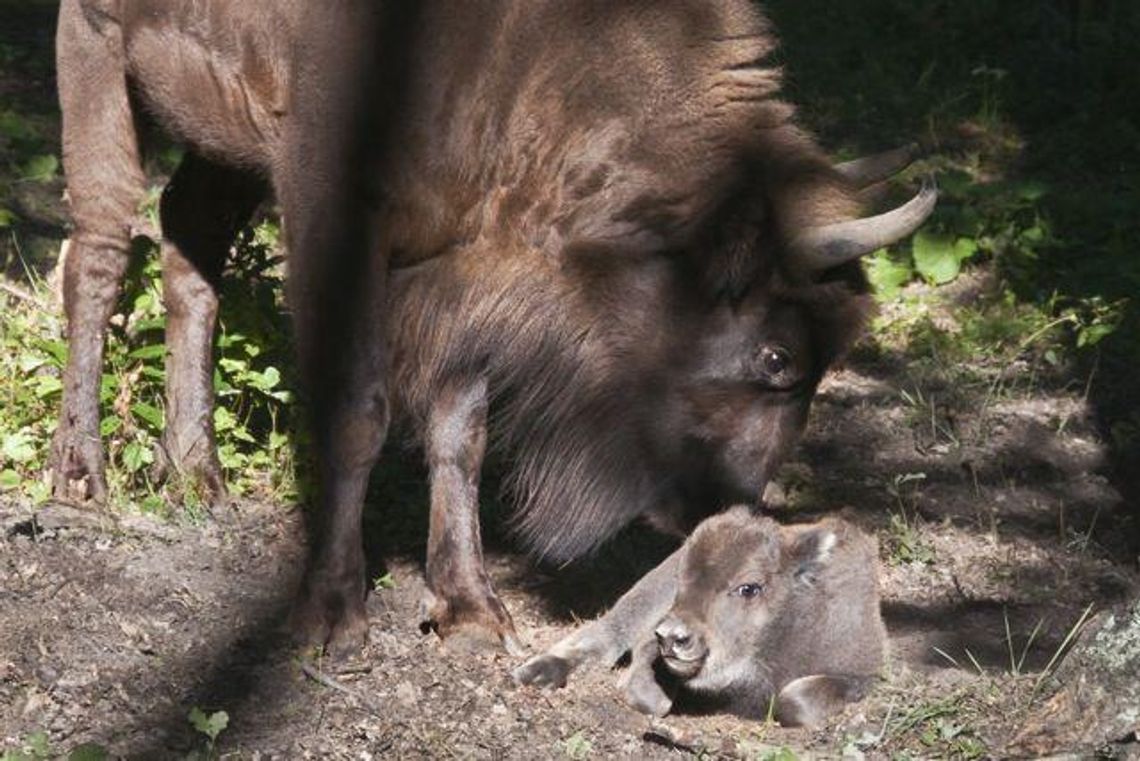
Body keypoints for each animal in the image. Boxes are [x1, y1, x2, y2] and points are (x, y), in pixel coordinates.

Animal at [49, 0, 930, 656]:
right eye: (775, 353)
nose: (729, 507)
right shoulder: (332, 211)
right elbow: (358, 410)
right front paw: (331, 611)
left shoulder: (466, 265)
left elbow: (462, 432)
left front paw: (470, 606)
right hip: (95, 54)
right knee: (98, 248)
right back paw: (81, 484)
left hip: (218, 136)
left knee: (187, 241)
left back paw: (194, 473)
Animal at [517, 508, 880, 729]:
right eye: (683, 579)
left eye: (749, 587)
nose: (671, 636)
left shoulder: (860, 675)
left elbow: (795, 702)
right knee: (606, 634)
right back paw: (535, 672)